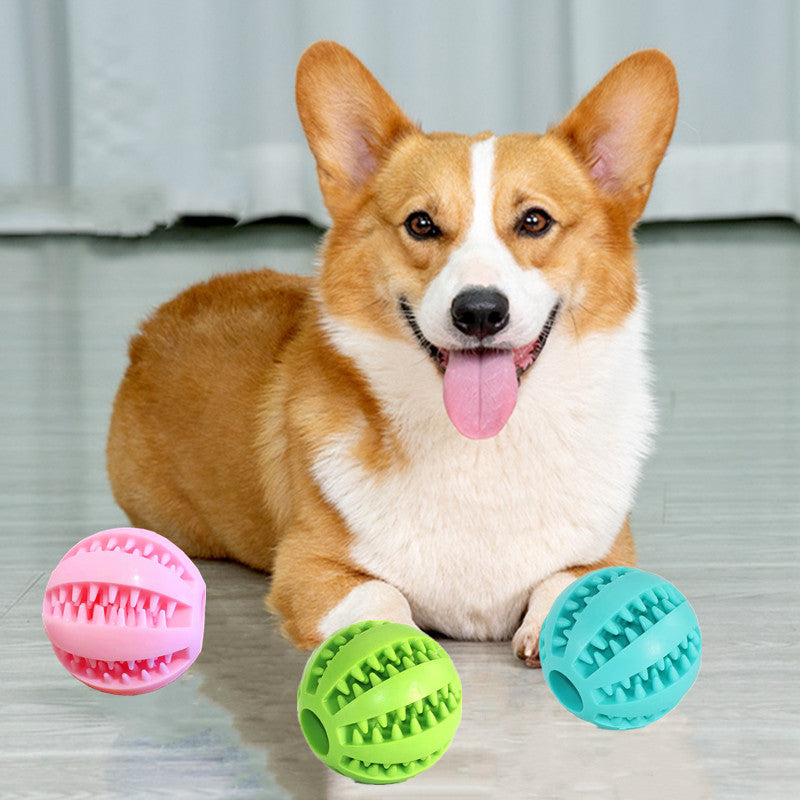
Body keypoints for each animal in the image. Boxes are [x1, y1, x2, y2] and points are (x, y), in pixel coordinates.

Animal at [108, 39, 676, 664]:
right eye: (421, 224)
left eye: (534, 220)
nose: (479, 312)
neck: (479, 449)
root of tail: (152, 327)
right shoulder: (308, 567)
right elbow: (383, 597)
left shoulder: (611, 549)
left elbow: (569, 581)